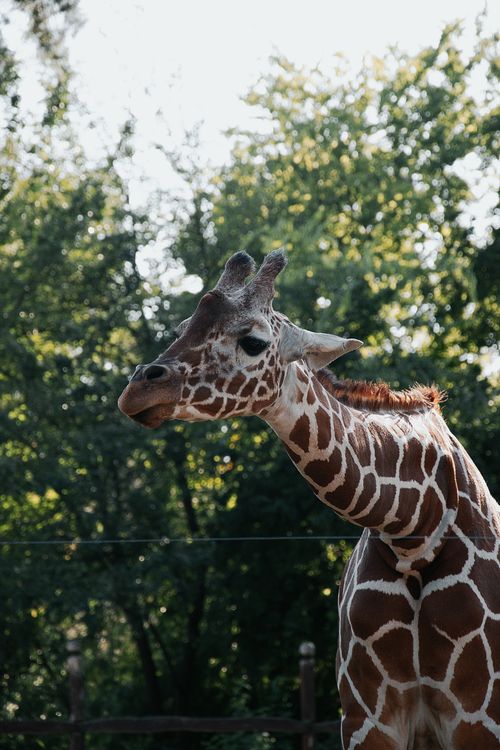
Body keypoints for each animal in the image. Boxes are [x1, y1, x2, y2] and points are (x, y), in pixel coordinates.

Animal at [118, 250, 500, 749]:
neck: (414, 528)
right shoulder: (367, 719)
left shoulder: (478, 716)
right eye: (182, 327)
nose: (137, 389)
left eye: (254, 341)